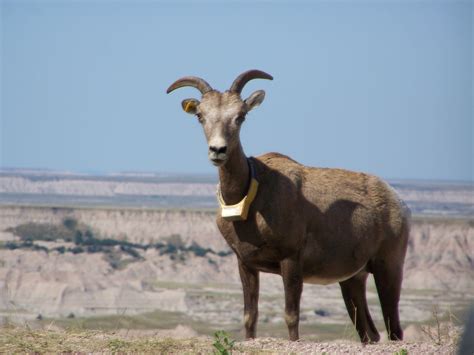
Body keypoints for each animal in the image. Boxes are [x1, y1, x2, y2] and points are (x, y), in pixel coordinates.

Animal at [168, 70, 412, 344]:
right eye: (200, 116)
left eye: (241, 115)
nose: (218, 150)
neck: (251, 197)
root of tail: (398, 203)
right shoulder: (246, 264)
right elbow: (250, 317)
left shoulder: (291, 261)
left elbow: (291, 317)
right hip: (352, 280)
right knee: (370, 333)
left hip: (388, 268)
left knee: (394, 329)